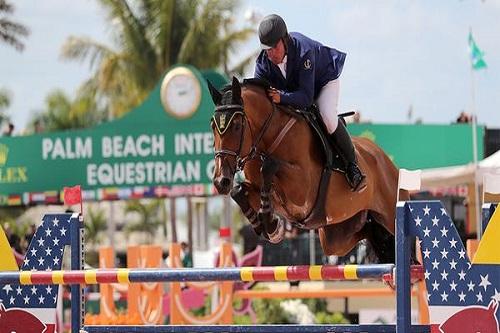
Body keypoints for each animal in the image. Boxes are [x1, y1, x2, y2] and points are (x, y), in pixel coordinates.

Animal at [209, 78, 408, 262]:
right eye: (212, 126)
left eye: (236, 125)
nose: (220, 181)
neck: (267, 140)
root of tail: (385, 159)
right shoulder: (257, 188)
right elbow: (238, 190)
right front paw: (266, 226)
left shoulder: (301, 189)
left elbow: (269, 166)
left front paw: (271, 225)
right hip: (336, 236)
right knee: (365, 232)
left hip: (390, 213)